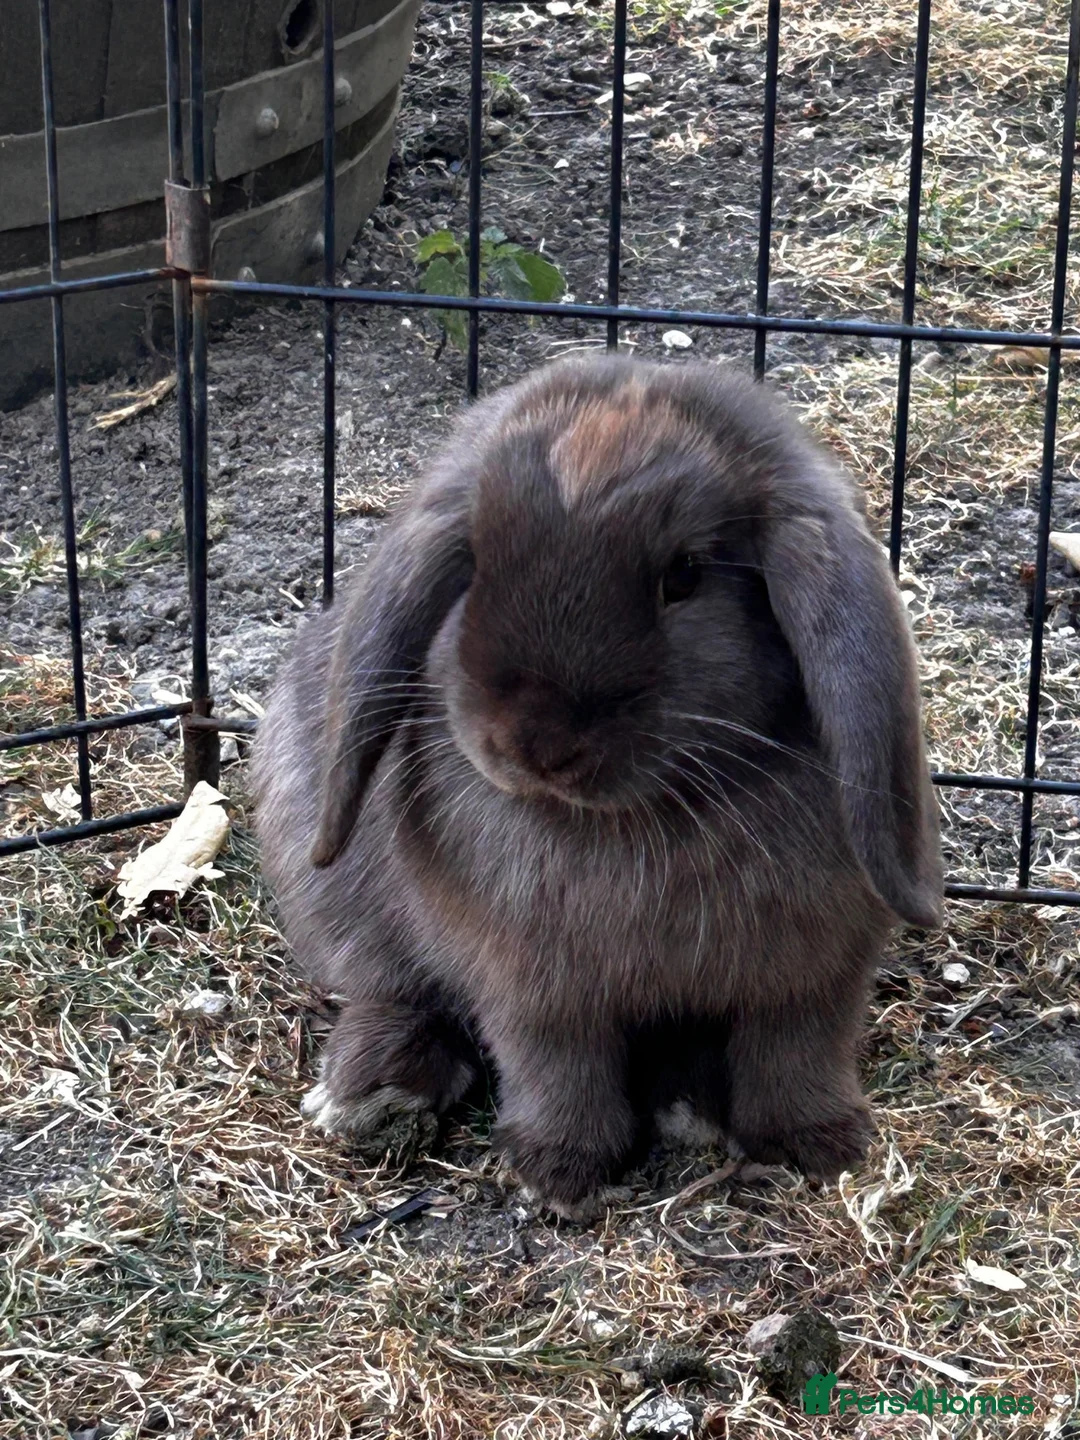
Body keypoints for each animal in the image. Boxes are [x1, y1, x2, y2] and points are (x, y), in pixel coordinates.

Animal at [252, 354, 943, 1216]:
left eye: (683, 575)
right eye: (478, 561)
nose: (535, 745)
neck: (646, 815)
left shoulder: (818, 972)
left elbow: (798, 1051)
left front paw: (818, 1144)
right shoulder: (534, 984)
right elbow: (556, 1064)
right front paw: (560, 1172)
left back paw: (689, 1102)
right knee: (388, 986)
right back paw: (371, 1088)